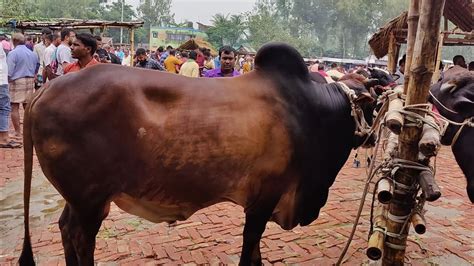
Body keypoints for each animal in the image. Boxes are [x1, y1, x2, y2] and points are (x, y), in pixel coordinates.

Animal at [20, 42, 376, 264]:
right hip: (90, 201)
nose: (373, 137)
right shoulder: (263, 198)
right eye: (372, 102)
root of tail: (46, 88)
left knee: (65, 229)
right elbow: (250, 250)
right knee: (81, 238)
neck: (314, 111)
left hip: (80, 198)